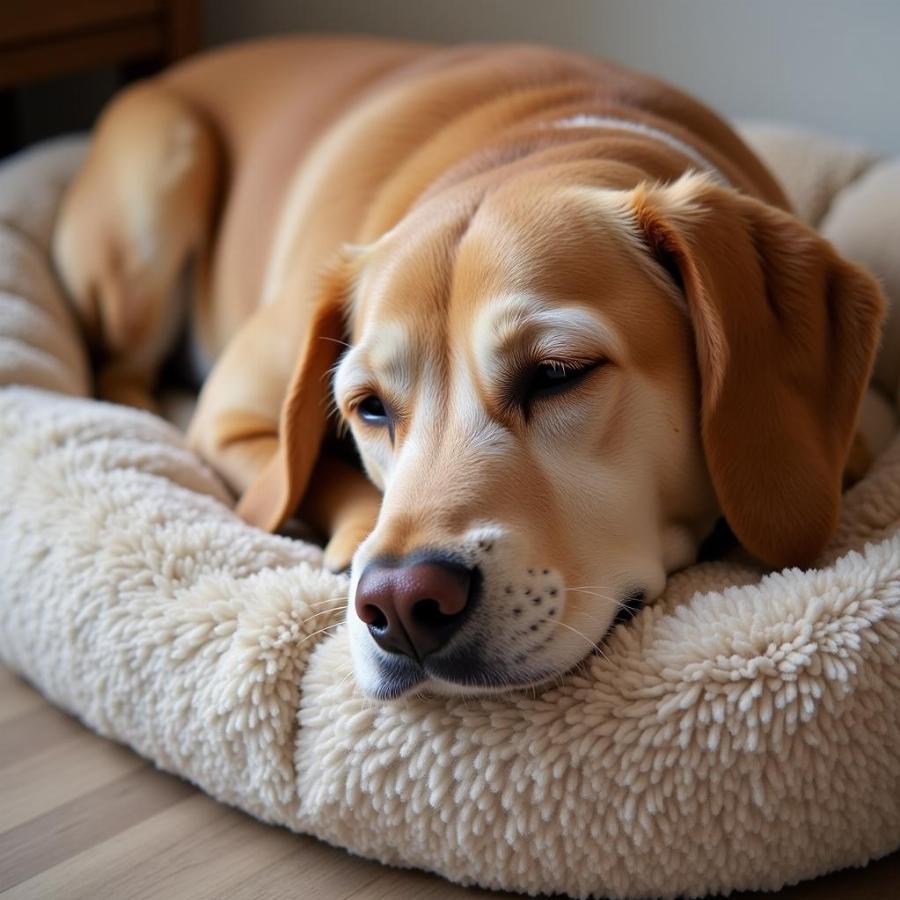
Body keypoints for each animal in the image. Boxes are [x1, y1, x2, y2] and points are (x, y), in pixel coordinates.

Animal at [52, 38, 884, 700]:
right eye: (369, 407)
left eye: (558, 372)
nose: (399, 604)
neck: (545, 146)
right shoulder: (226, 419)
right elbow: (306, 477)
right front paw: (351, 538)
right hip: (165, 172)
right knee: (119, 371)